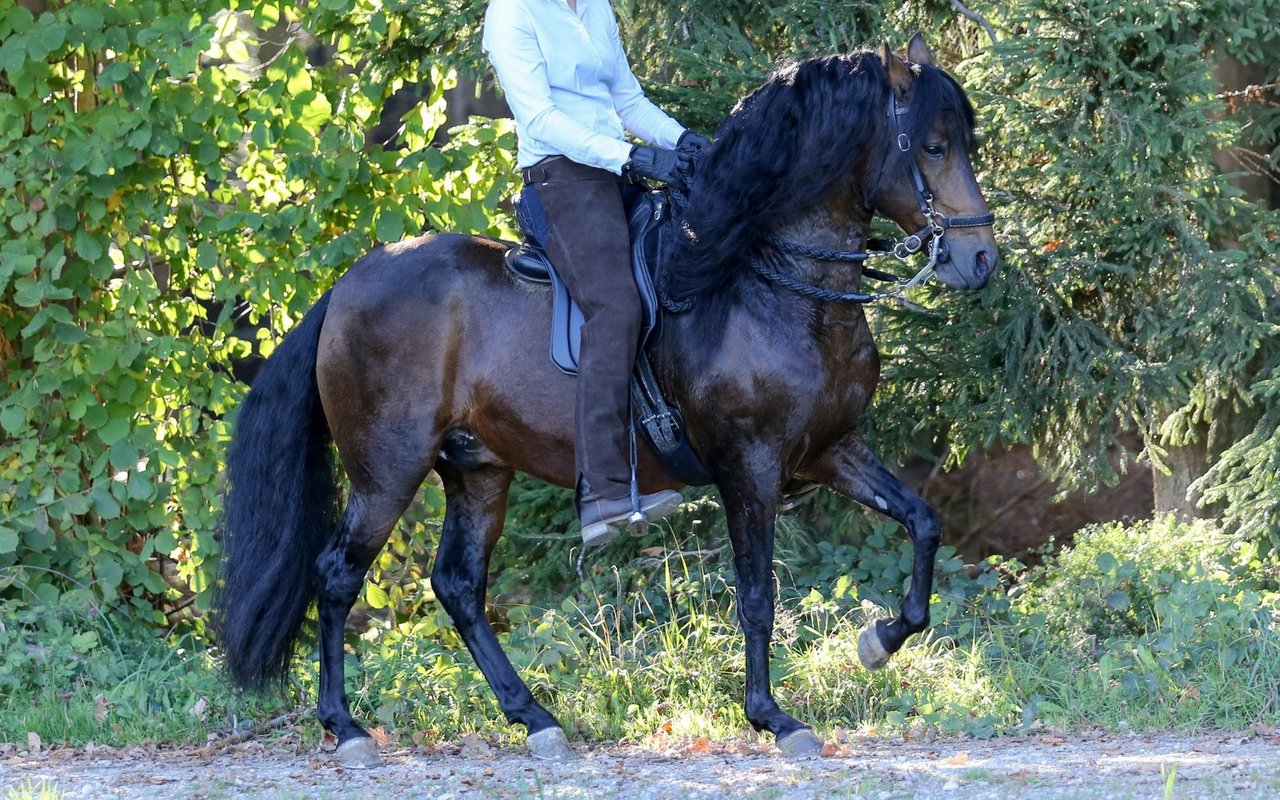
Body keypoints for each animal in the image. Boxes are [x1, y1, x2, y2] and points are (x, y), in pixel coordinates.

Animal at [215, 34, 998, 762]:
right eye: (932, 146)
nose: (980, 260)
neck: (773, 285)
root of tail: (345, 287)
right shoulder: (749, 467)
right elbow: (756, 596)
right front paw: (773, 718)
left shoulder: (830, 449)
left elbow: (923, 523)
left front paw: (879, 640)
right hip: (388, 473)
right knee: (337, 576)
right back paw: (345, 728)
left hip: (477, 469)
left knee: (459, 586)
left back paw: (534, 719)